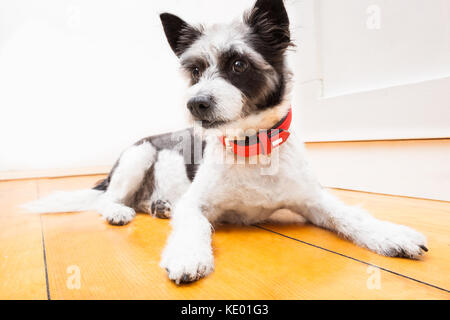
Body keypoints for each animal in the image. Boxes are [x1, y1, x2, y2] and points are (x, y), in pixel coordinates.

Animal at [23, 0, 426, 284]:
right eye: (195, 70)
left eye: (238, 64)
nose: (195, 103)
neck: (251, 147)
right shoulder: (194, 204)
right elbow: (196, 224)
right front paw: (189, 255)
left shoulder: (313, 199)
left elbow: (349, 213)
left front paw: (390, 233)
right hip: (138, 156)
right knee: (107, 200)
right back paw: (120, 211)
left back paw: (159, 206)